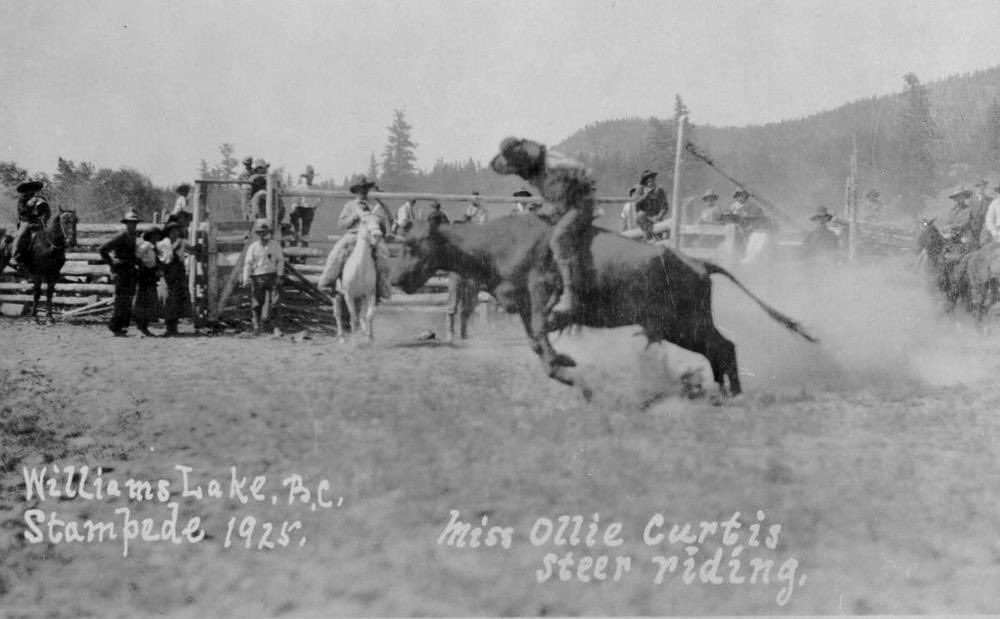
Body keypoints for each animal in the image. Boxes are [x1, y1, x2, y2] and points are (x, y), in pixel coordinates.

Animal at [332, 214, 386, 342]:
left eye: (378, 221)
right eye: (364, 221)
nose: (377, 235)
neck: (360, 269)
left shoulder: (370, 293)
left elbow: (369, 315)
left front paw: (370, 337)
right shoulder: (349, 295)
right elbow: (353, 317)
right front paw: (354, 339)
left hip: (361, 297)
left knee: (361, 315)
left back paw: (363, 332)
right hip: (337, 295)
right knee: (338, 313)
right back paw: (342, 337)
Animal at [394, 218, 816, 400]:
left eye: (412, 244)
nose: (397, 278)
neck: (501, 241)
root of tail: (696, 262)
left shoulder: (542, 297)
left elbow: (542, 340)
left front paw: (567, 368)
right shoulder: (529, 310)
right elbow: (537, 344)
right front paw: (569, 373)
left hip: (685, 322)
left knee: (724, 347)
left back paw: (731, 393)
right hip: (681, 325)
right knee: (721, 348)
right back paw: (722, 391)